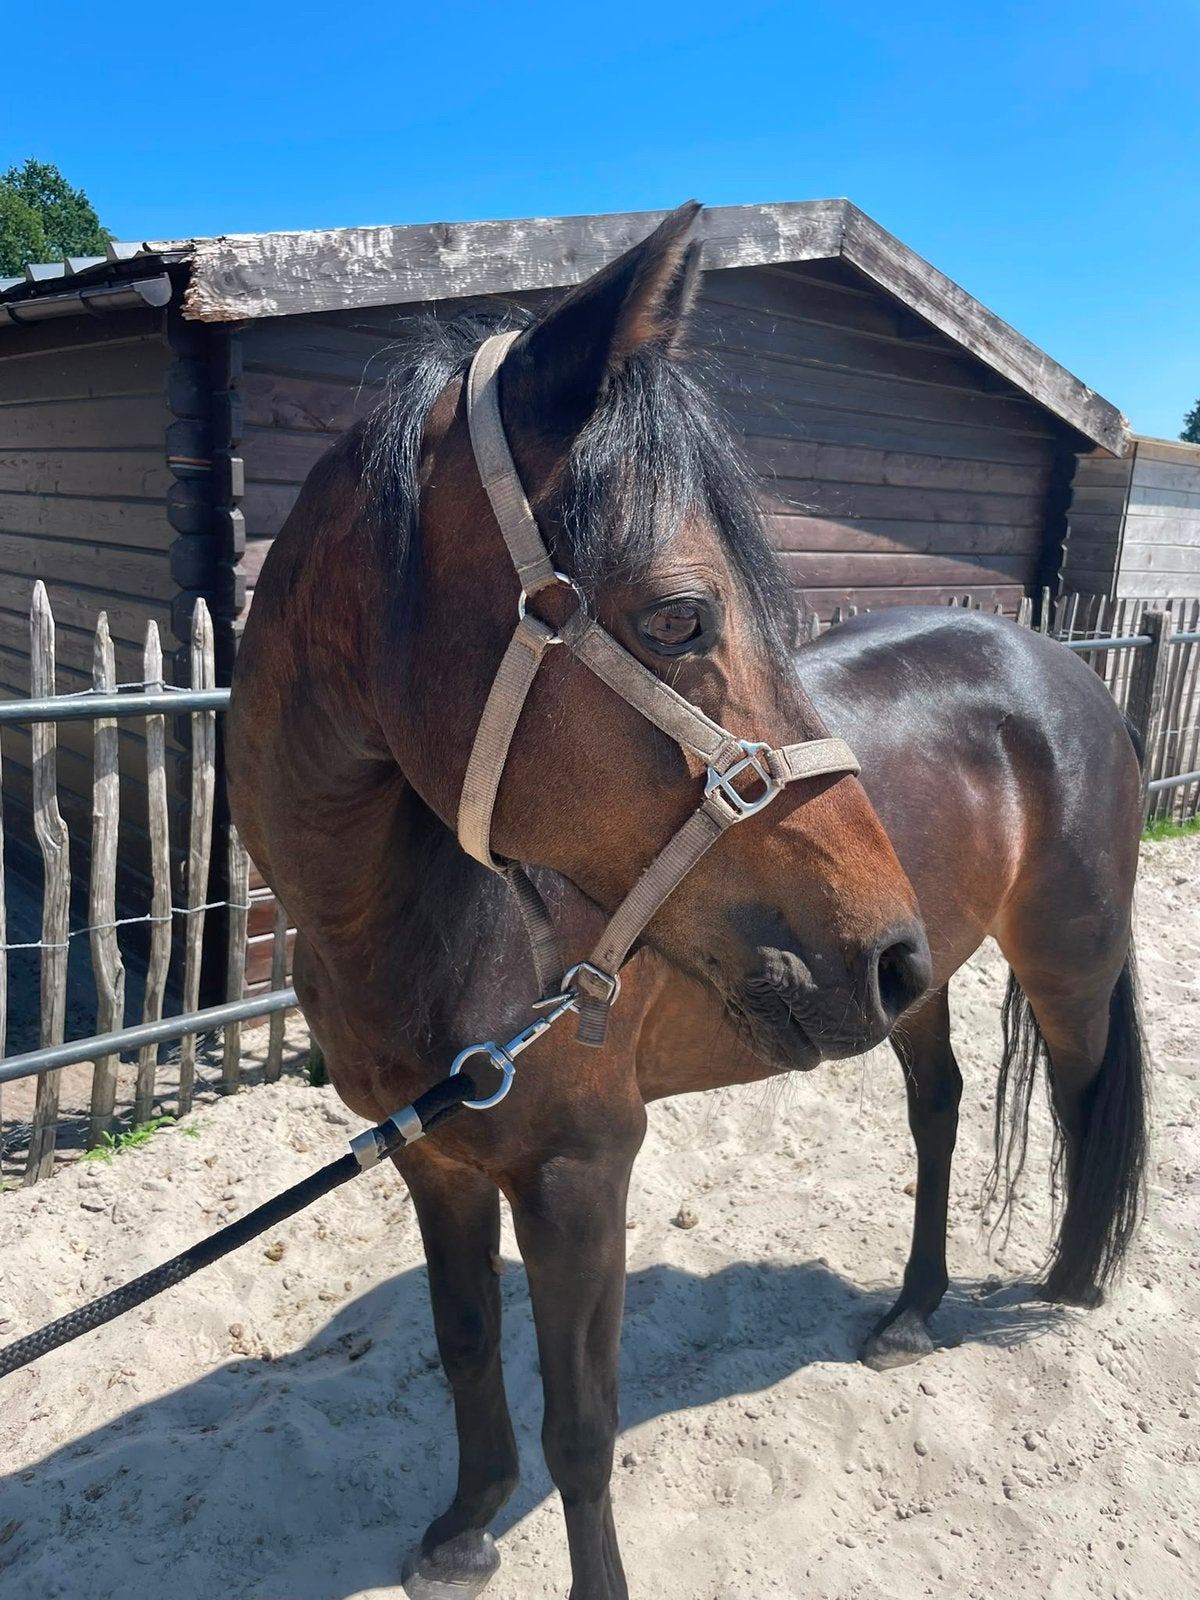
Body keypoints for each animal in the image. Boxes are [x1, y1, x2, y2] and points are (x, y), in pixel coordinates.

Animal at [227, 203, 1147, 1600]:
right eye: (678, 617)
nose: (880, 944)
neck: (415, 927)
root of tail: (1061, 664)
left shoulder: (579, 1171)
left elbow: (583, 1427)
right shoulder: (435, 1160)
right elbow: (463, 1343)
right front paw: (466, 1526)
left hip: (1055, 964)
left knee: (1087, 1108)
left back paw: (1070, 1286)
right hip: (915, 983)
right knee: (937, 1109)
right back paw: (912, 1311)